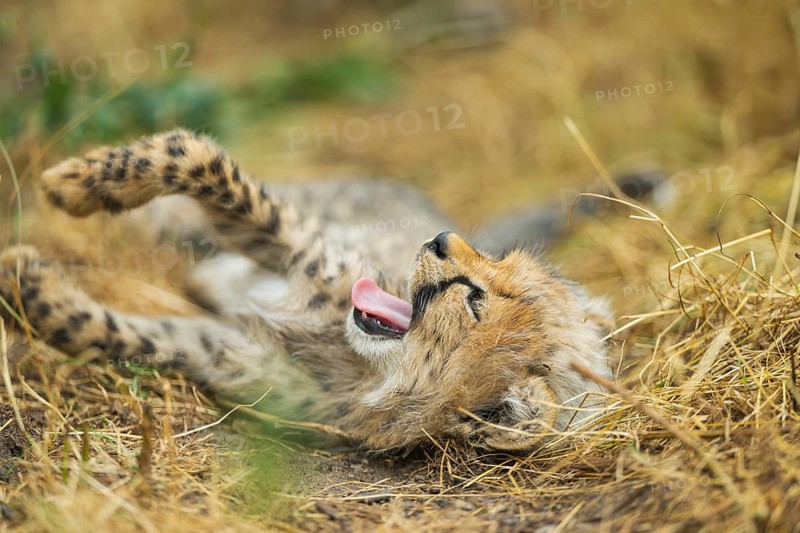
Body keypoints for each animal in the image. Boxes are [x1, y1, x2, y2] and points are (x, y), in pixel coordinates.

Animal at [0, 129, 615, 452]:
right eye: (496, 261)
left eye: (472, 300)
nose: (441, 239)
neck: (362, 361)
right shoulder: (303, 249)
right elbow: (197, 157)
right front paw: (72, 185)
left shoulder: (232, 356)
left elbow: (120, 335)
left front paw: (25, 282)